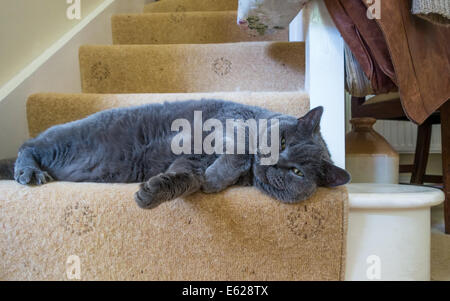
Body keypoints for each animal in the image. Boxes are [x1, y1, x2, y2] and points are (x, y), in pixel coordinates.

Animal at [0, 99, 350, 207]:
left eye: (297, 172)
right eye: (283, 142)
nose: (276, 160)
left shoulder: (190, 160)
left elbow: (187, 178)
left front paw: (155, 192)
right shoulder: (223, 125)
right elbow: (237, 149)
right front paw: (215, 178)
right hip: (65, 139)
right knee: (27, 146)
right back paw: (29, 172)